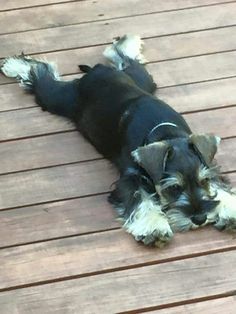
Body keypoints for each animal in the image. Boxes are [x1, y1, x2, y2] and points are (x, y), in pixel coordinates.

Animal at [0, 35, 235, 247]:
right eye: (174, 188)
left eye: (204, 181)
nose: (199, 218)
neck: (164, 131)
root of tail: (96, 71)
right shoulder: (129, 178)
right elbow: (139, 197)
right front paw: (154, 227)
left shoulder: (208, 164)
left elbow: (220, 184)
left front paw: (228, 209)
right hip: (58, 98)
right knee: (40, 74)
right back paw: (12, 64)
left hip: (143, 79)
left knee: (127, 59)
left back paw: (127, 42)